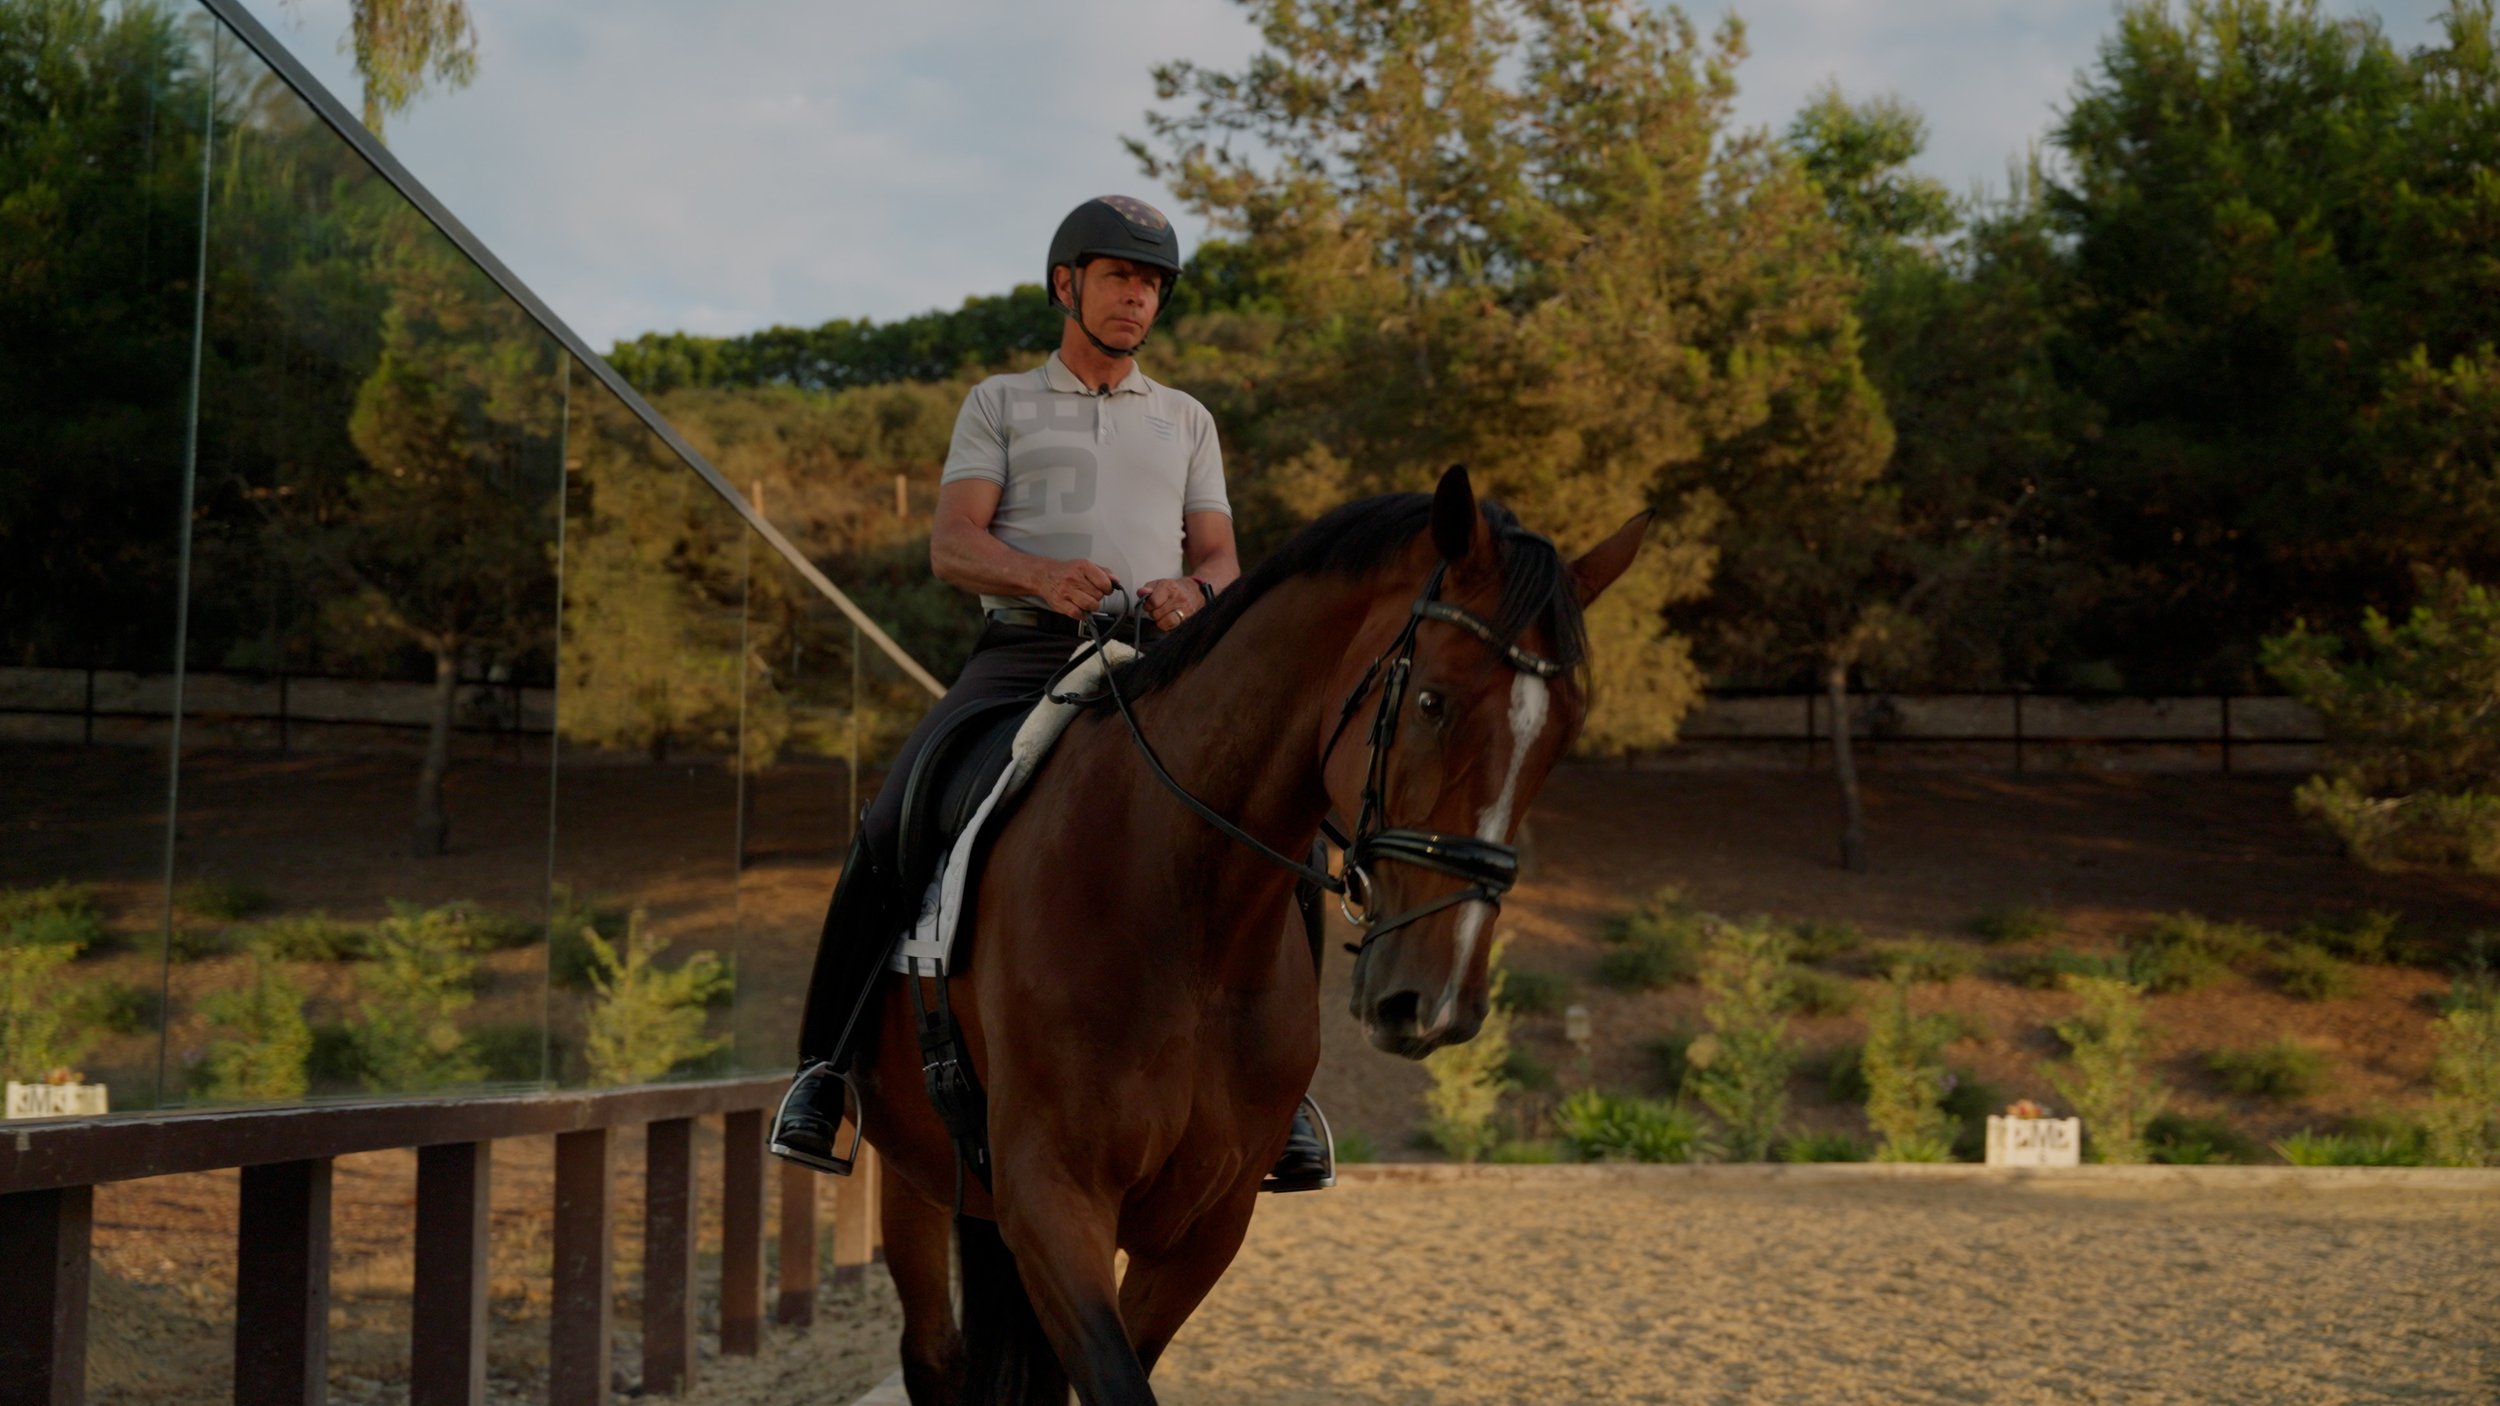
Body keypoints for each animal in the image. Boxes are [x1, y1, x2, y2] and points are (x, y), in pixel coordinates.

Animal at [849, 464, 1649, 1404]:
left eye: (1563, 732)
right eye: (1431, 701)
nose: (1437, 1000)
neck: (1185, 915)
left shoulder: (1208, 1221)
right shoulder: (1052, 1197)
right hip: (915, 1182)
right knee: (934, 1355)